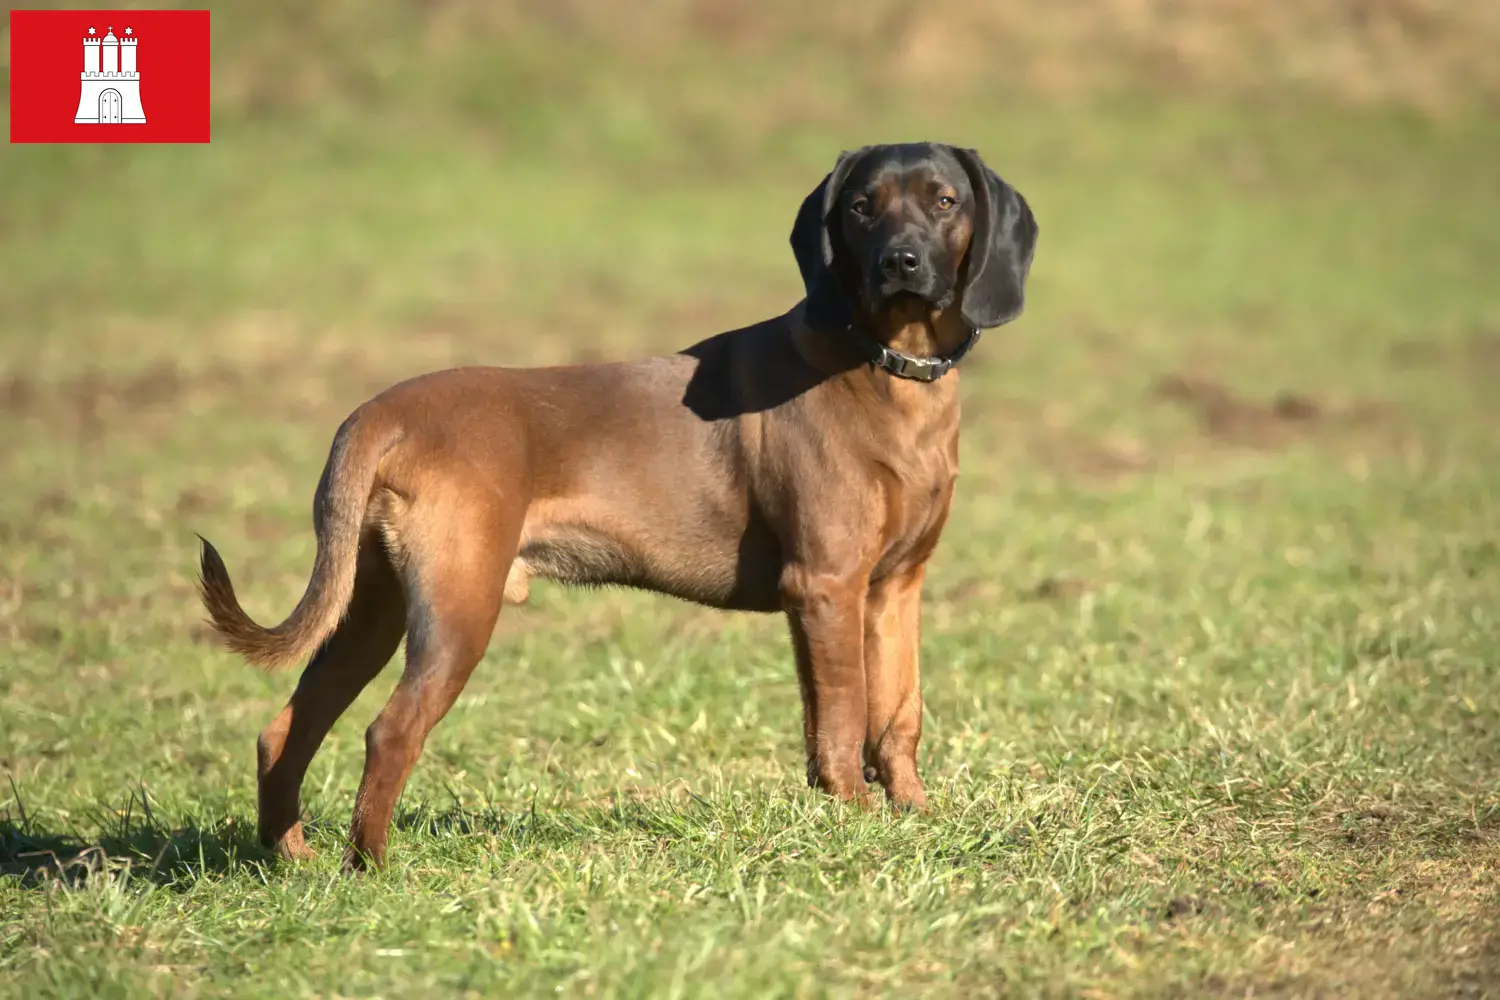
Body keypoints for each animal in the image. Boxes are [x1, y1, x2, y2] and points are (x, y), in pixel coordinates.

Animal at [199, 142, 1038, 869]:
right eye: (862, 207)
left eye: (944, 200)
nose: (902, 262)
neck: (887, 369)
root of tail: (380, 415)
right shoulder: (826, 587)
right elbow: (839, 721)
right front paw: (855, 820)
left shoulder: (896, 588)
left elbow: (898, 715)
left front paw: (915, 813)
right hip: (457, 608)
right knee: (390, 730)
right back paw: (371, 869)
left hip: (369, 608)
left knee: (286, 728)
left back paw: (292, 855)